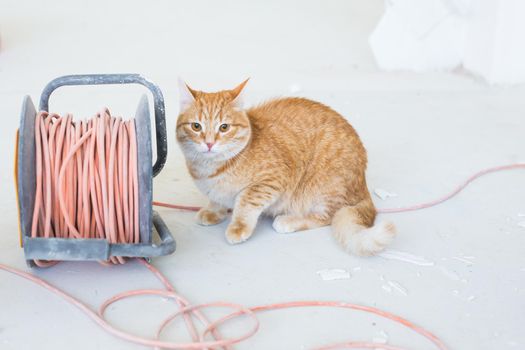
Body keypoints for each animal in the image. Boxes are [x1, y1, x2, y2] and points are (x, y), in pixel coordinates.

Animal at [175, 80, 392, 254]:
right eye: (196, 126)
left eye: (224, 127)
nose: (209, 143)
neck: (209, 170)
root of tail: (363, 183)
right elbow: (217, 199)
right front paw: (214, 210)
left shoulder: (272, 180)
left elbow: (246, 201)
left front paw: (239, 227)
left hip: (323, 188)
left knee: (327, 217)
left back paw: (289, 220)